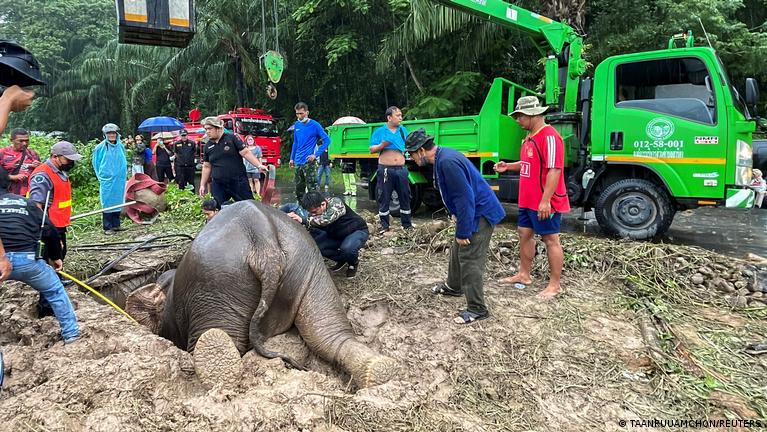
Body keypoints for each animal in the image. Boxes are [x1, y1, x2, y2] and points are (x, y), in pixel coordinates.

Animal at [125, 200, 397, 388]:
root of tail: (261, 238)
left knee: (218, 337)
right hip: (310, 267)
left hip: (216, 283)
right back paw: (380, 370)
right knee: (327, 333)